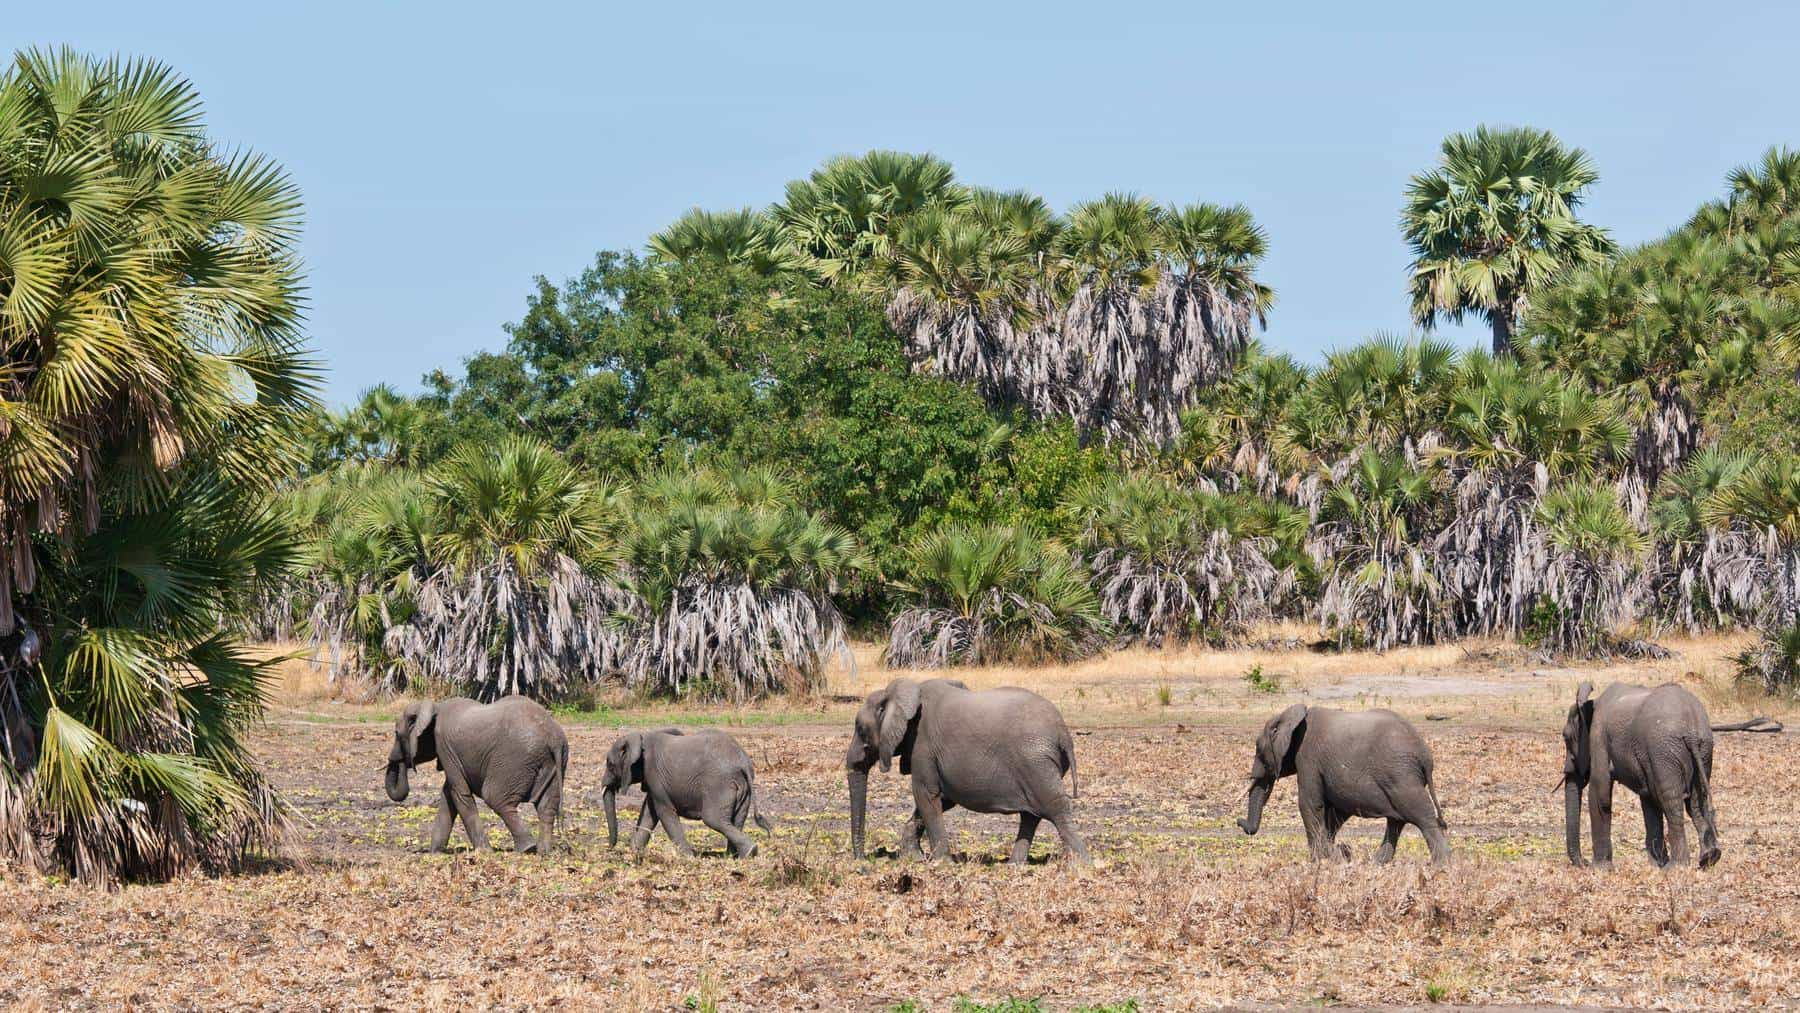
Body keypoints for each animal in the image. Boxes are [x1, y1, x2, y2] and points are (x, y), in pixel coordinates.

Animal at [383, 698, 565, 856]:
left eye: (397, 733)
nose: (402, 761)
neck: (434, 706)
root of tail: (553, 738)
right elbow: (448, 796)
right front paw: (435, 853)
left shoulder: (445, 747)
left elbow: (459, 793)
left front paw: (484, 852)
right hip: (550, 763)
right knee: (547, 805)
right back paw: (543, 851)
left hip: (515, 761)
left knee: (495, 798)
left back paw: (527, 849)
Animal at [604, 726, 774, 860]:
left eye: (610, 765)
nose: (610, 848)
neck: (641, 736)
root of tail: (744, 762)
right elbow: (649, 813)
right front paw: (634, 852)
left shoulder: (655, 775)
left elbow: (664, 812)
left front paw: (688, 857)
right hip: (742, 788)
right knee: (737, 820)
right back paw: (734, 857)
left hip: (719, 785)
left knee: (713, 819)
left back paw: (749, 852)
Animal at [838, 676, 1080, 867]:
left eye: (861, 729)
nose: (863, 861)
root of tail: (1063, 733)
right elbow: (942, 799)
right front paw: (915, 858)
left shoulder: (923, 745)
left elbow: (926, 795)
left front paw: (940, 863)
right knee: (1031, 815)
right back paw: (1014, 865)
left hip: (1035, 762)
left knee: (1055, 807)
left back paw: (1080, 863)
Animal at [1231, 705, 1454, 863]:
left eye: (1259, 750)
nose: (1238, 821)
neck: (1289, 716)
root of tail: (1426, 756)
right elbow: (1335, 812)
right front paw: (1332, 857)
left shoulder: (1308, 758)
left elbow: (1310, 805)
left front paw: (1324, 859)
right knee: (1396, 822)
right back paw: (1376, 863)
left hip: (1401, 776)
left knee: (1422, 816)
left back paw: (1441, 865)